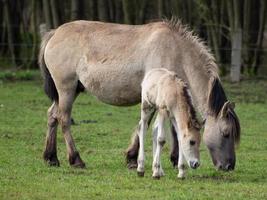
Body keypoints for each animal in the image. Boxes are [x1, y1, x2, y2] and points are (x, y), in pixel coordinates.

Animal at [39, 18, 241, 170]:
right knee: (64, 119)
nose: (229, 166)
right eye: (226, 133)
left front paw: (173, 158)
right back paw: (76, 159)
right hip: (66, 89)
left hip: (70, 91)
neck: (176, 51)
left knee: (52, 115)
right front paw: (132, 158)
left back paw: (51, 158)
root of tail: (54, 33)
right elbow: (145, 124)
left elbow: (173, 127)